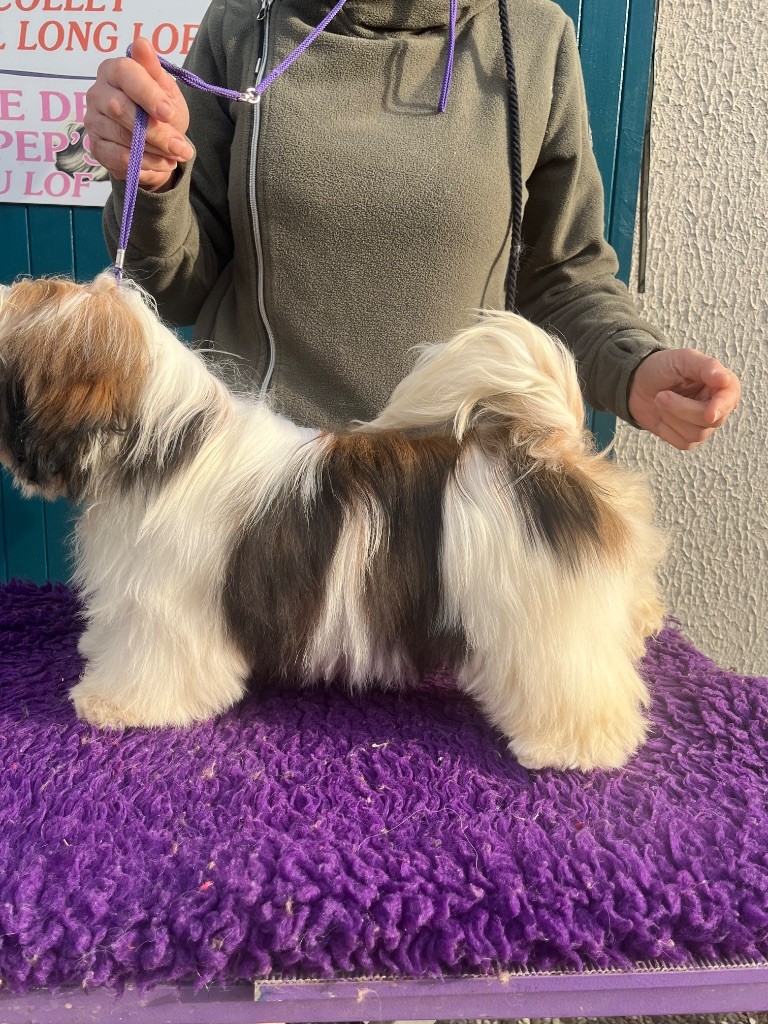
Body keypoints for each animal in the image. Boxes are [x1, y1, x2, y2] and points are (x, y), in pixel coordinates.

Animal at [0, 274, 664, 770]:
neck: (164, 449)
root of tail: (545, 444)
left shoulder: (164, 609)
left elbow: (153, 663)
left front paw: (117, 703)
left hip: (545, 614)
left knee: (572, 677)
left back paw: (575, 745)